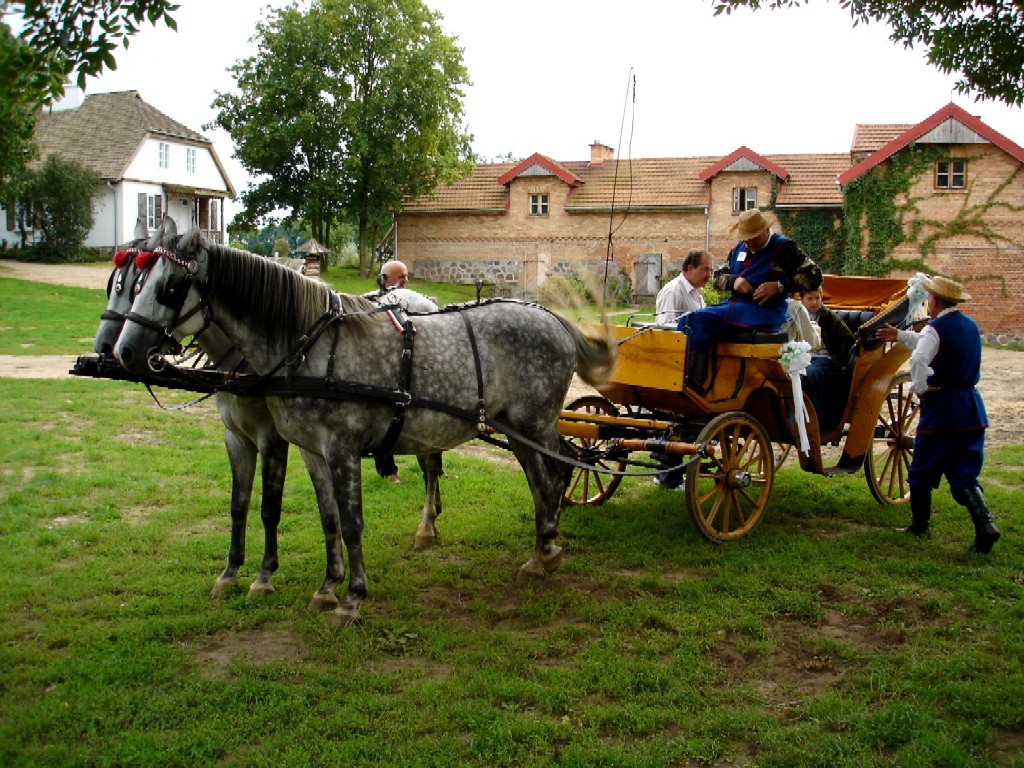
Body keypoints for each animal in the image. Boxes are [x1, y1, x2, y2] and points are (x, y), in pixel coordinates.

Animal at [117, 230, 614, 626]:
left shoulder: (340, 448)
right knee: (543, 478)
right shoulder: (310, 450)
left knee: (559, 471)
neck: (307, 346)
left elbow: (352, 522)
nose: (122, 351)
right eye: (133, 285)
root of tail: (554, 319)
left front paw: (352, 598)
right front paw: (326, 587)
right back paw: (540, 551)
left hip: (534, 422)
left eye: (170, 286)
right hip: (515, 427)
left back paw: (545, 549)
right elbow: (328, 517)